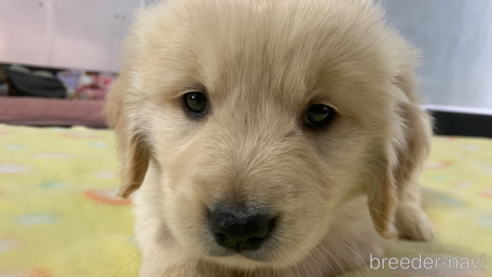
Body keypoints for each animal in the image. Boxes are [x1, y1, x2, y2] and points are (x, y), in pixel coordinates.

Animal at [104, 0, 434, 272]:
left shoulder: (355, 236)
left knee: (407, 195)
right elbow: (173, 247)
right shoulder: (155, 200)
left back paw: (418, 225)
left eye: (320, 113)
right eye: (195, 100)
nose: (238, 226)